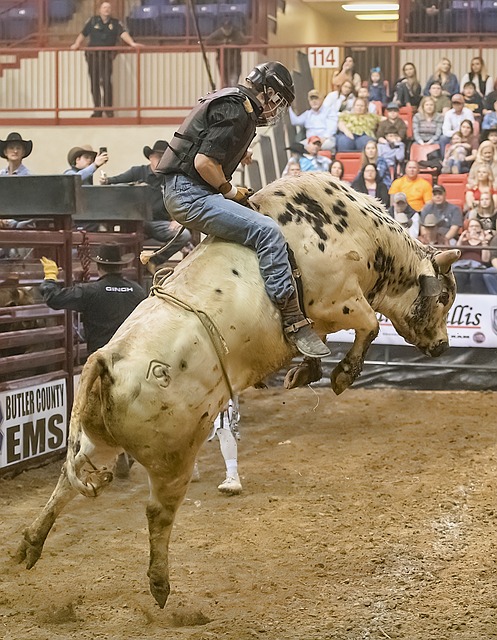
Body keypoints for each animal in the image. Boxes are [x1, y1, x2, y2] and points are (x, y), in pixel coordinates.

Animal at [14, 172, 458, 608]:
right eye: (444, 296)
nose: (443, 346)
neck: (359, 231)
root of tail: (107, 360)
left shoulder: (321, 315)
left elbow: (315, 339)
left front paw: (306, 370)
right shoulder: (341, 300)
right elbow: (368, 325)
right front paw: (343, 375)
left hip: (100, 437)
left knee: (68, 480)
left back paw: (30, 544)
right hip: (173, 456)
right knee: (157, 511)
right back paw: (160, 585)